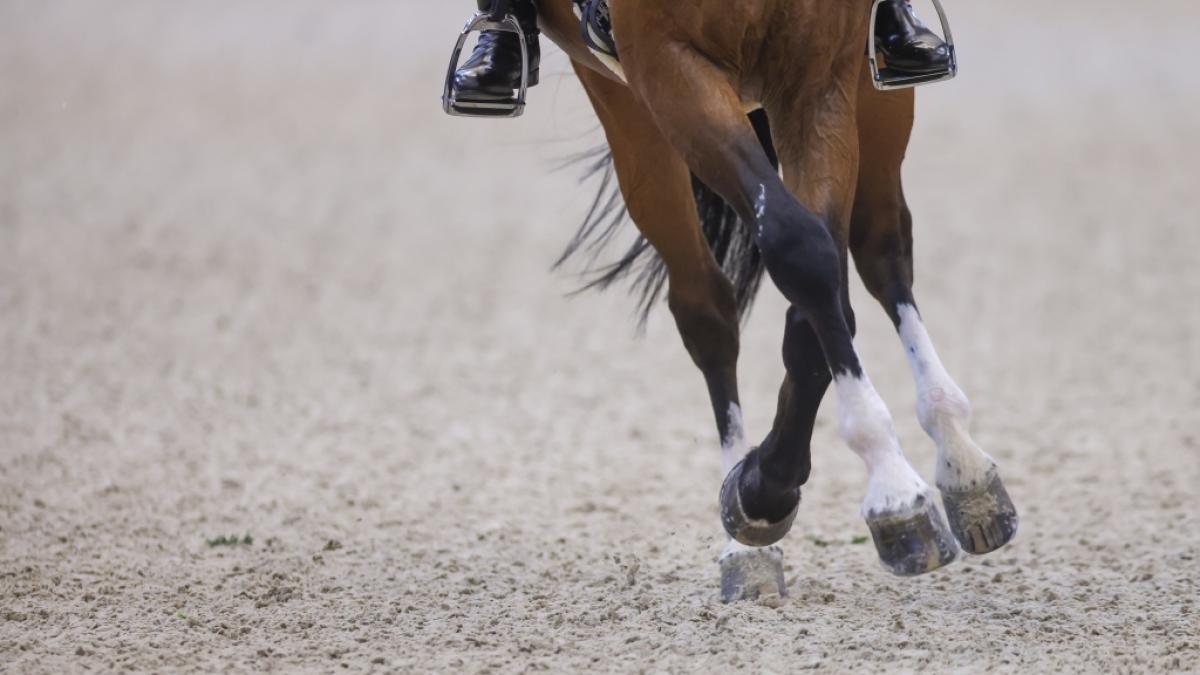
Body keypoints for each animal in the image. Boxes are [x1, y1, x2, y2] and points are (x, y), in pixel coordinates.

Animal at [489, 0, 1018, 602]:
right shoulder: (667, 67)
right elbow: (801, 253)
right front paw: (863, 487)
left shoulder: (822, 81)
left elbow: (819, 294)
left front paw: (848, 482)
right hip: (629, 109)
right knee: (706, 309)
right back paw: (745, 545)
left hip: (872, 94)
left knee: (883, 248)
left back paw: (962, 462)